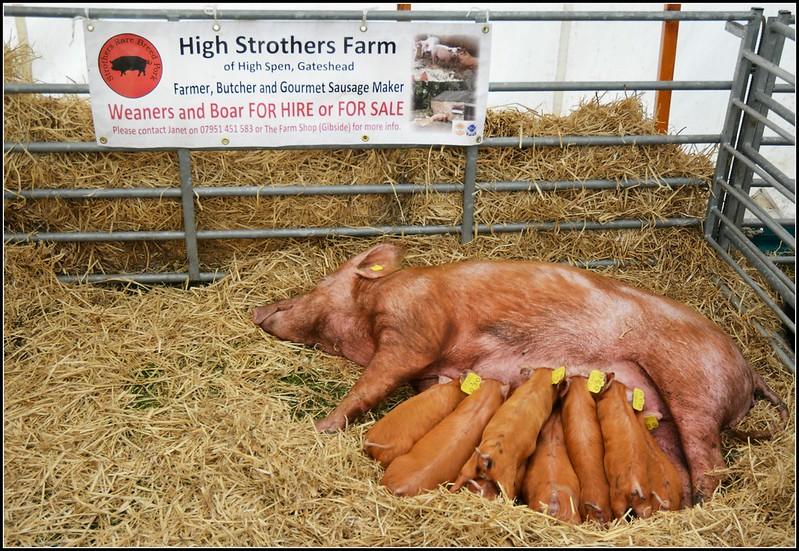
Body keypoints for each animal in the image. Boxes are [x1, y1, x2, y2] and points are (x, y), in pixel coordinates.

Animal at [255, 243, 788, 504]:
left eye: (319, 283)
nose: (260, 309)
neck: (367, 317)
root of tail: (751, 372)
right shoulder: (433, 374)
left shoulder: (416, 326)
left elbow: (372, 382)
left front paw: (322, 425)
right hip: (667, 422)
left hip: (694, 385)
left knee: (710, 466)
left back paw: (700, 506)